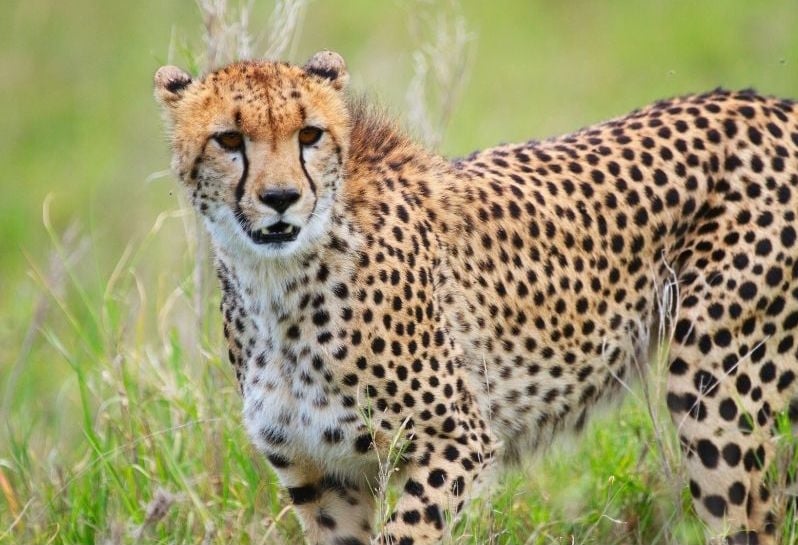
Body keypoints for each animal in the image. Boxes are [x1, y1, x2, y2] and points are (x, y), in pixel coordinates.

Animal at [154, 50, 798, 545]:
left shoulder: (456, 441)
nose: (282, 198)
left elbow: (405, 532)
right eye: (229, 139)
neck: (275, 283)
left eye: (309, 134)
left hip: (717, 393)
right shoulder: (323, 478)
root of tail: (769, 104)